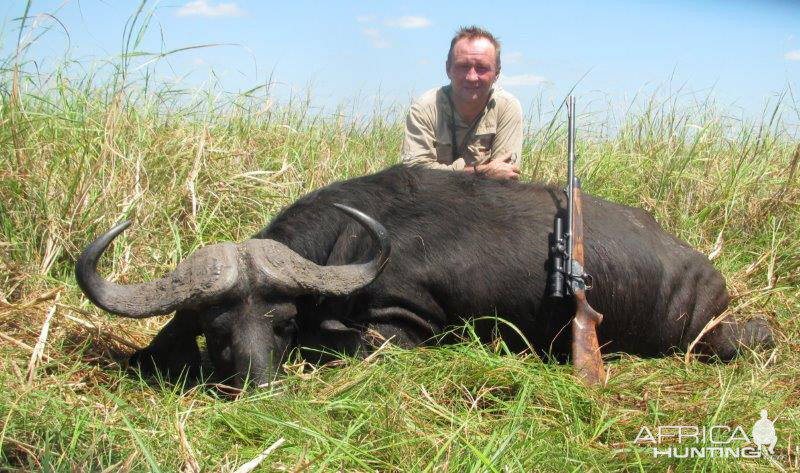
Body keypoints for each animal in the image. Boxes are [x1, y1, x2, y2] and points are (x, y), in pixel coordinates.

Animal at [76, 164, 776, 386]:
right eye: (216, 327)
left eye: (281, 323)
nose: (258, 384)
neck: (348, 245)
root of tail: (705, 273)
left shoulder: (401, 326)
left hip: (700, 335)